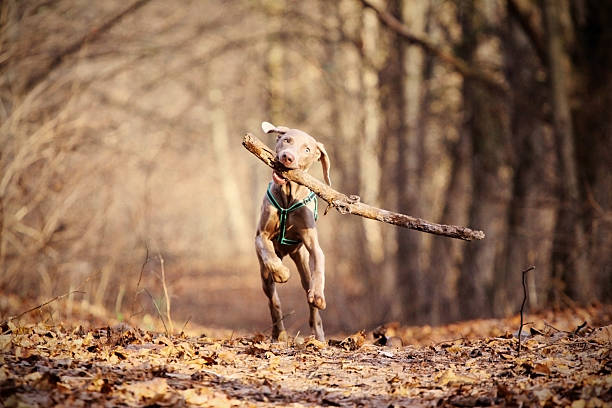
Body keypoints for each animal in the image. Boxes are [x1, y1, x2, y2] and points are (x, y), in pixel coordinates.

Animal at [253, 121, 330, 342]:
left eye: (307, 150)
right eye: (287, 140)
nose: (288, 157)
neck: (288, 195)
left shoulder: (312, 245)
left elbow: (319, 261)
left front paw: (319, 295)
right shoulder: (261, 235)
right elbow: (267, 251)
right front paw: (281, 272)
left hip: (302, 261)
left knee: (310, 300)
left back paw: (318, 334)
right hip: (264, 278)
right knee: (273, 301)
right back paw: (279, 333)